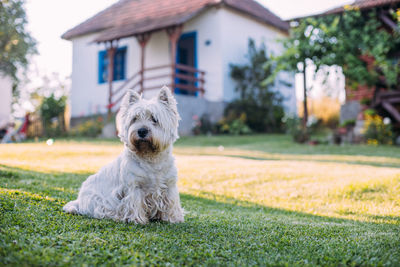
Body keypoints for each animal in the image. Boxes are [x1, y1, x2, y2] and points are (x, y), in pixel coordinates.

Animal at [63, 86, 184, 224]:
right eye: (134, 119)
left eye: (154, 119)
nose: (141, 131)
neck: (150, 158)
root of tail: (79, 200)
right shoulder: (134, 186)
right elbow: (134, 203)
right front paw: (137, 219)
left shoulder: (169, 185)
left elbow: (171, 203)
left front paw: (173, 218)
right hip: (96, 200)